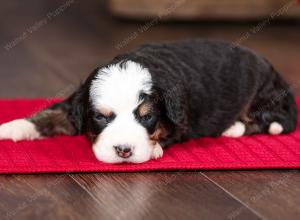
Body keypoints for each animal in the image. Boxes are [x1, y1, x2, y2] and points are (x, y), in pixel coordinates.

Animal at [0, 39, 298, 163]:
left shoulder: (181, 119)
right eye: (100, 117)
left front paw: (153, 149)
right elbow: (51, 114)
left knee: (271, 120)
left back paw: (233, 127)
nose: (124, 151)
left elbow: (165, 133)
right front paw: (13, 127)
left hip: (263, 94)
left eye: (146, 117)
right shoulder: (77, 101)